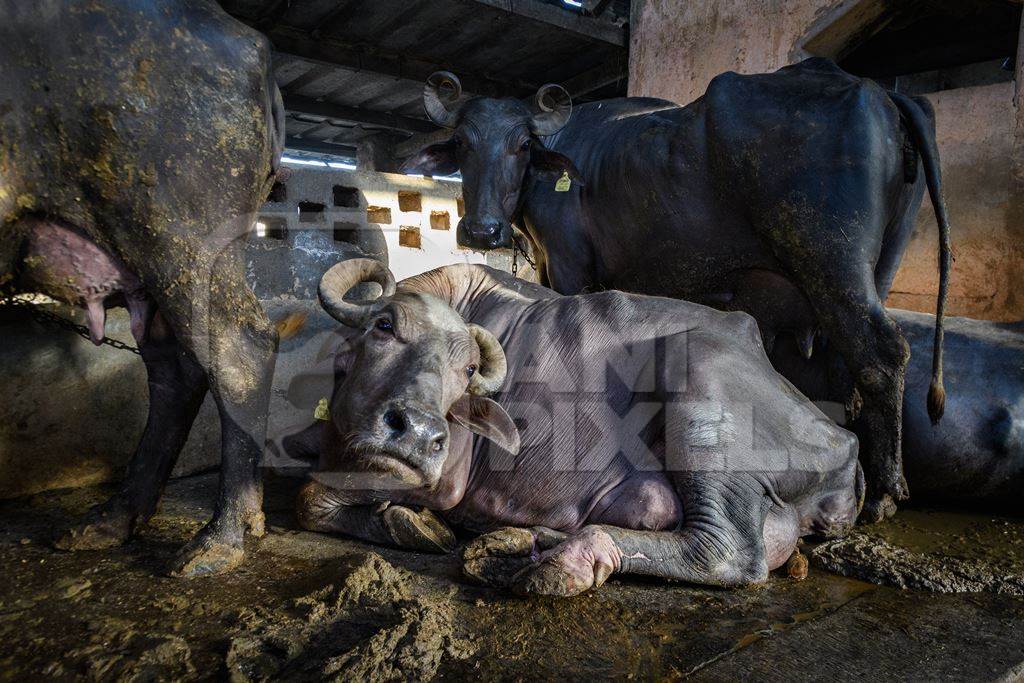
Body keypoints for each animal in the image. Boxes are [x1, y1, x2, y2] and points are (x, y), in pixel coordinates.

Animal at [1, 0, 284, 577]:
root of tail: (257, 49)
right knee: (175, 367)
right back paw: (93, 529)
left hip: (180, 219)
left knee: (240, 347)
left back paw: (208, 551)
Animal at [290, 259, 864, 593]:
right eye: (383, 327)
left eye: (468, 370)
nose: (415, 434)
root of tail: (845, 443)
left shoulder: (447, 481)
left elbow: (311, 498)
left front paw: (413, 524)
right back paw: (523, 543)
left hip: (699, 377)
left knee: (726, 552)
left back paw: (551, 562)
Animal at [399, 58, 950, 524]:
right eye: (463, 144)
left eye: (522, 146)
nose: (482, 230)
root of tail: (876, 89)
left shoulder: (567, 265)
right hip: (875, 271)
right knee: (851, 368)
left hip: (832, 261)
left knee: (882, 354)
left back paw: (883, 493)